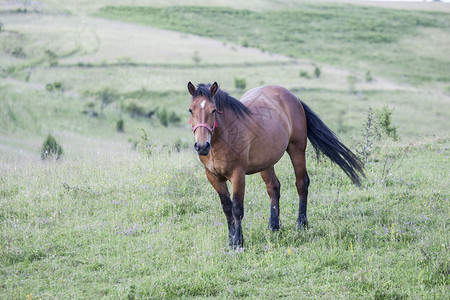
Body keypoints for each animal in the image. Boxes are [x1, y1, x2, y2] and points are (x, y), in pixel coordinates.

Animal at [188, 81, 364, 248]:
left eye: (213, 110)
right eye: (191, 110)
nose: (202, 146)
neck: (226, 135)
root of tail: (292, 96)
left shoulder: (238, 175)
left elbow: (237, 209)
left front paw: (238, 242)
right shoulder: (213, 177)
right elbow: (226, 208)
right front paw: (231, 241)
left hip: (297, 150)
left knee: (302, 184)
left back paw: (301, 224)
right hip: (267, 162)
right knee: (273, 187)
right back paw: (273, 226)